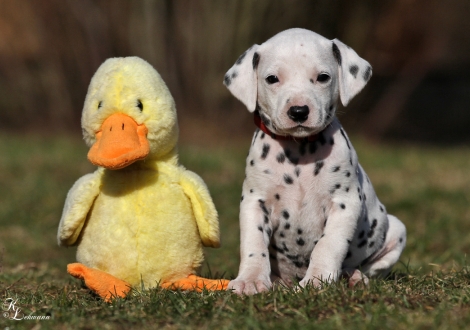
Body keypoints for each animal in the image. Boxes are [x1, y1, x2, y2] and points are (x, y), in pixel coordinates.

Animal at [222, 29, 406, 296]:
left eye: (323, 77)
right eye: (272, 79)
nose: (299, 111)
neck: (300, 153)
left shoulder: (344, 203)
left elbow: (328, 245)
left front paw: (317, 280)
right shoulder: (254, 202)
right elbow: (253, 244)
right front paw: (250, 280)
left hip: (396, 230)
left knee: (369, 267)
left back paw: (353, 277)